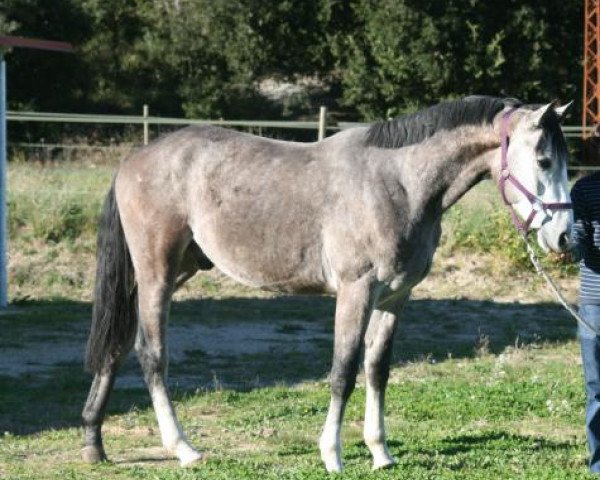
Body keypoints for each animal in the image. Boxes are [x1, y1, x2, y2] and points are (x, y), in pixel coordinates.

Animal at [79, 95, 572, 470]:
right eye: (544, 159)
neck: (398, 183)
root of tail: (135, 158)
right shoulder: (356, 291)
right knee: (151, 353)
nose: (565, 236)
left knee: (118, 343)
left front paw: (380, 453)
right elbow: (343, 371)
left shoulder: (396, 296)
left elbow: (377, 369)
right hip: (157, 273)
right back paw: (183, 448)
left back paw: (93, 441)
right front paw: (332, 455)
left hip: (172, 271)